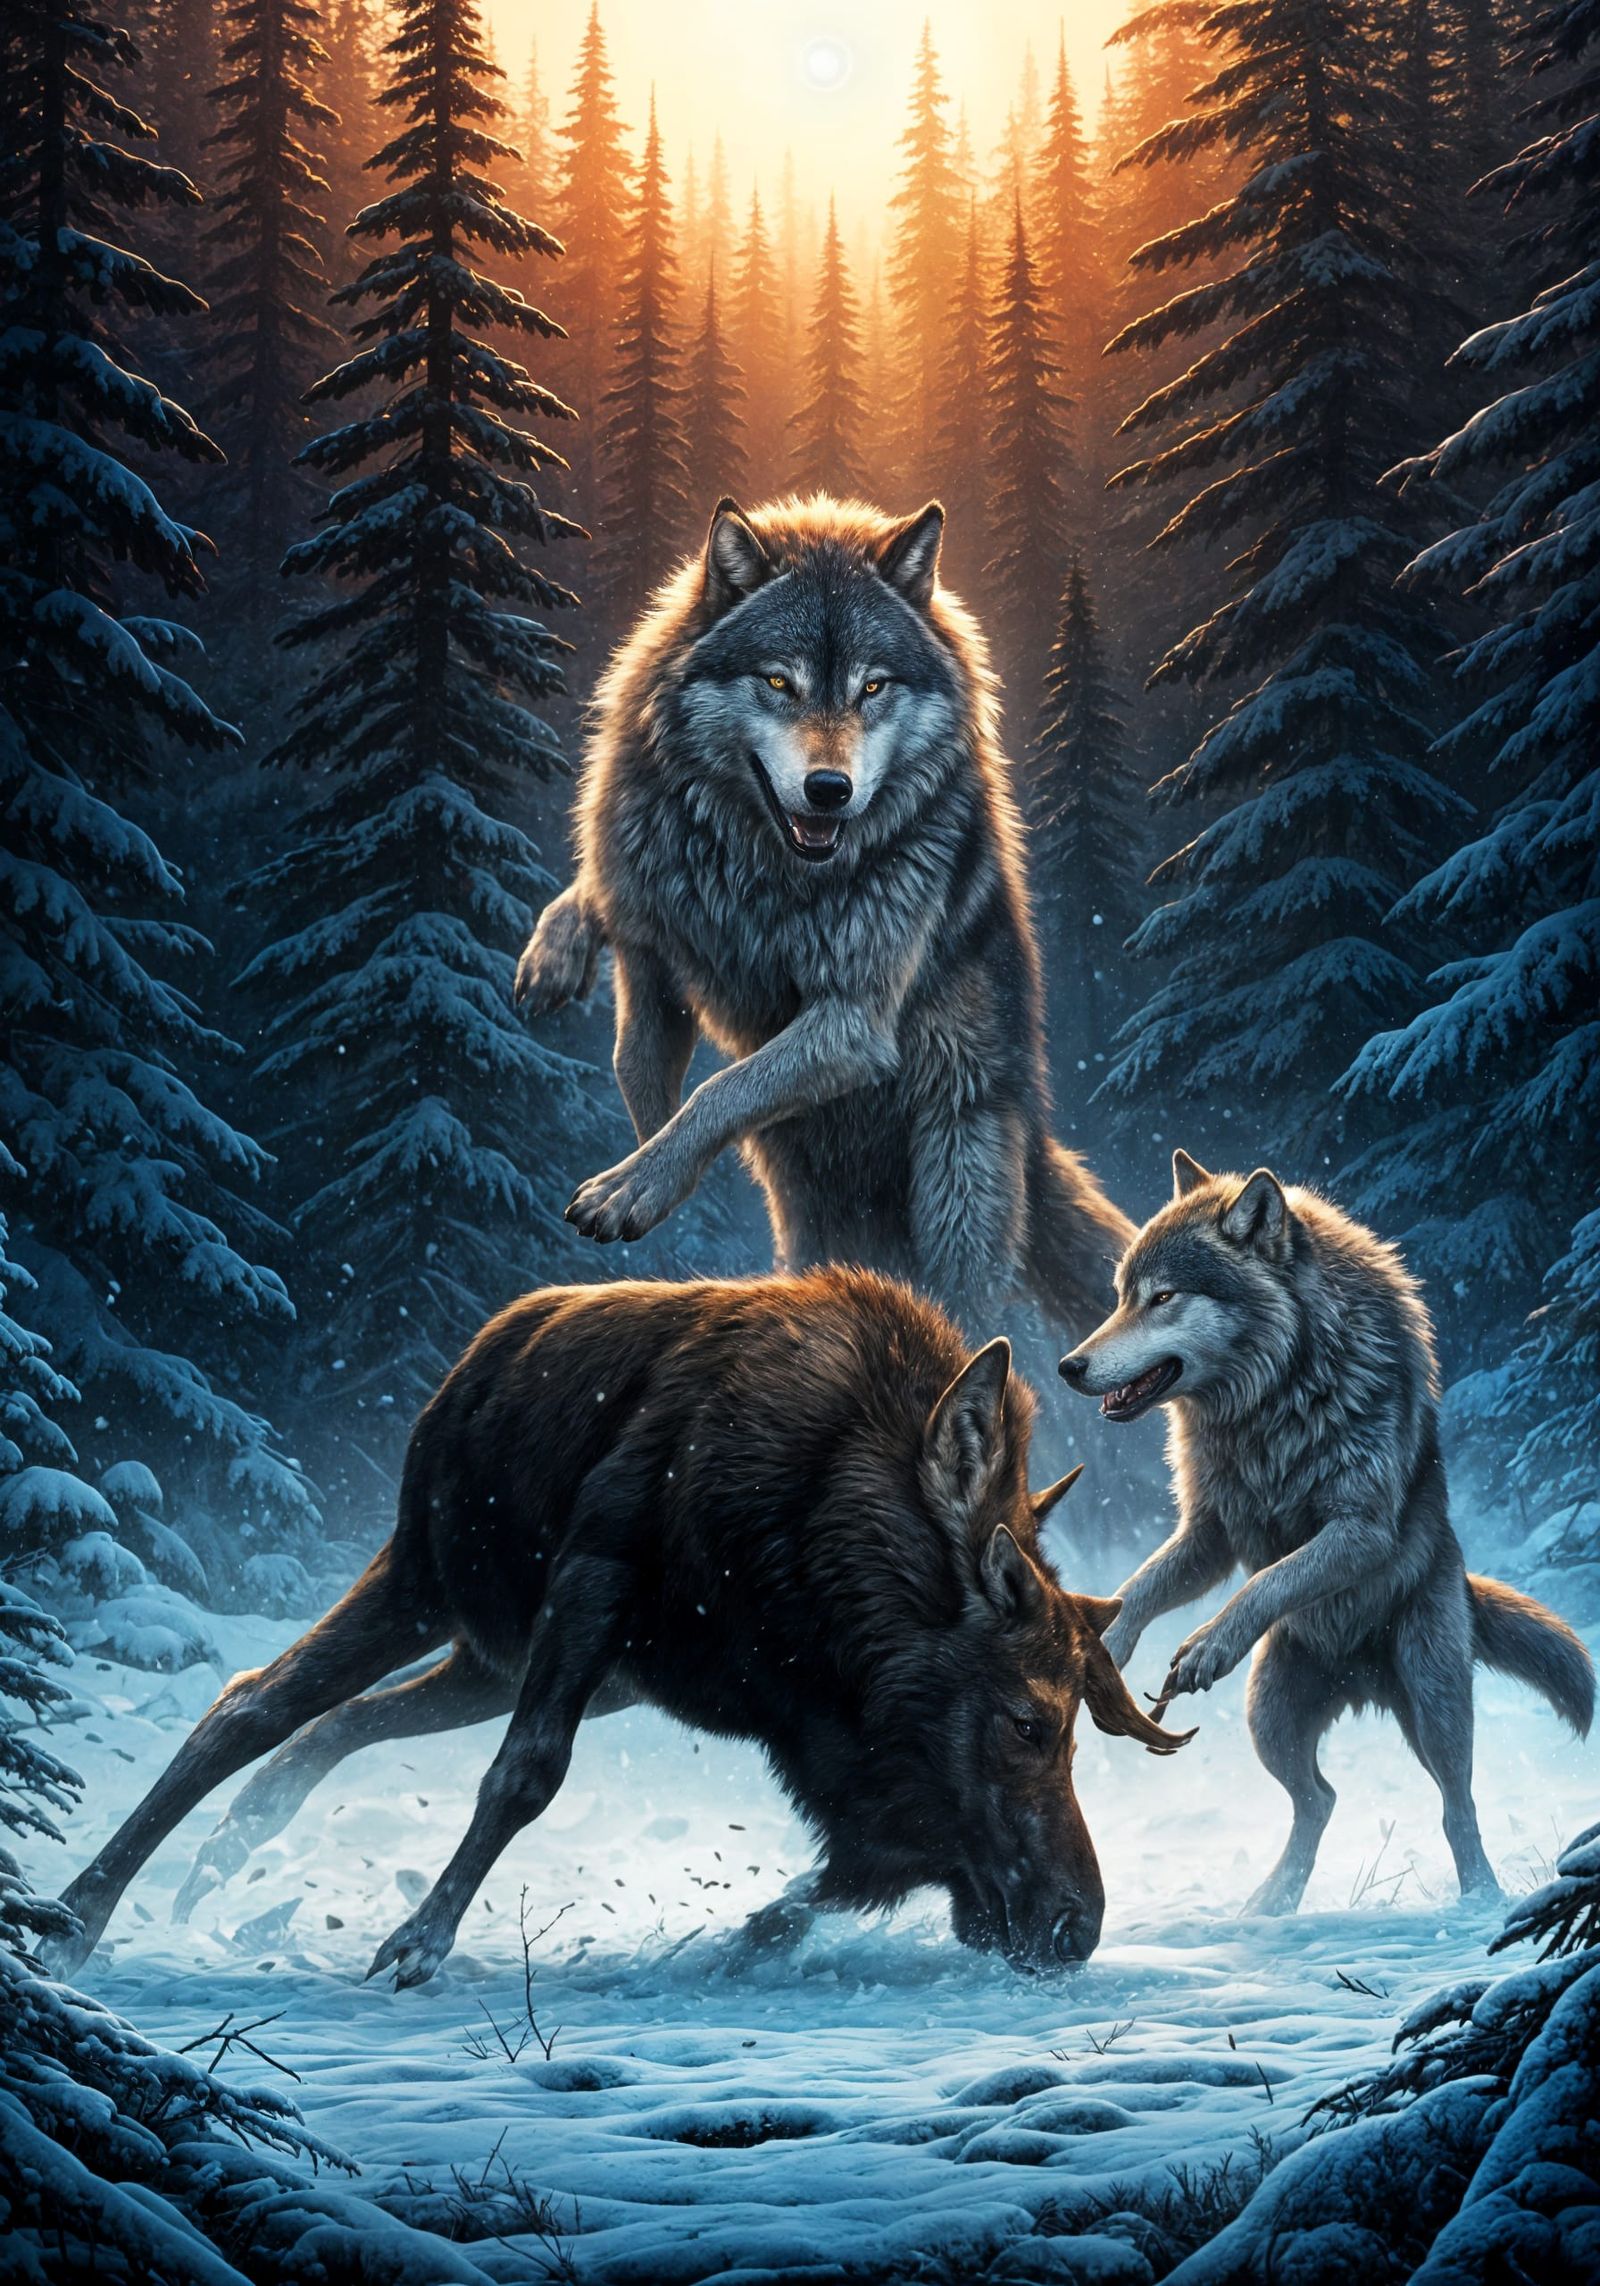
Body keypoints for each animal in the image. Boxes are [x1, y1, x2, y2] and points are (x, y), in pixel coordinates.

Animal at [47, 1267, 1190, 1986]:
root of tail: (483, 1350)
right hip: (429, 1575)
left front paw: (745, 1938)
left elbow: (844, 1873)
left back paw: (230, 1851)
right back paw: (75, 1917)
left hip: (503, 1657)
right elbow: (525, 1777)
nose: (1076, 1925)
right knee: (252, 1703)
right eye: (1031, 1722)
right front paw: (417, 1942)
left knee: (339, 1719)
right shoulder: (596, 1577)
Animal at [515, 493, 1131, 1334]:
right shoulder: (646, 896)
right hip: (815, 1219)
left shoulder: (853, 1022)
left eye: (873, 689)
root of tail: (1038, 1136)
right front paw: (552, 962)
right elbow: (626, 1015)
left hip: (956, 1190)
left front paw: (634, 1186)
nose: (829, 790)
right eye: (780, 681)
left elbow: (718, 1091)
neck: (761, 870)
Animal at [1059, 1153, 1593, 1914]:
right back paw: (1270, 1904)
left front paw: (1208, 1643)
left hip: (1434, 1701)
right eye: (1120, 1297)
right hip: (1270, 1716)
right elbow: (1141, 1586)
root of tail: (1360, 1682)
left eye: (1162, 1298)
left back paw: (1481, 1899)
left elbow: (1269, 1579)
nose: (1069, 1366)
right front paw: (1100, 1643)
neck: (1270, 1400)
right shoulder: (1208, 1534)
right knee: (1321, 1798)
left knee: (1456, 1805)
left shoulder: (1359, 1530)